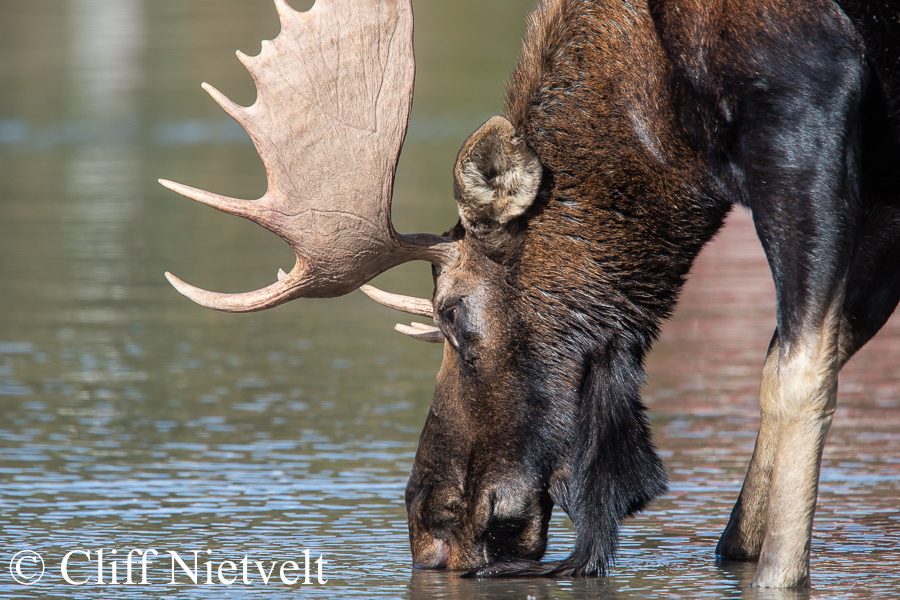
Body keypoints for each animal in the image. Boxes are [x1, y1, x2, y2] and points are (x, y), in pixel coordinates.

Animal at [162, 0, 900, 588]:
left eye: (450, 312)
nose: (427, 528)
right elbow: (796, 355)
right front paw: (739, 548)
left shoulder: (805, 99)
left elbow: (797, 372)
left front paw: (779, 571)